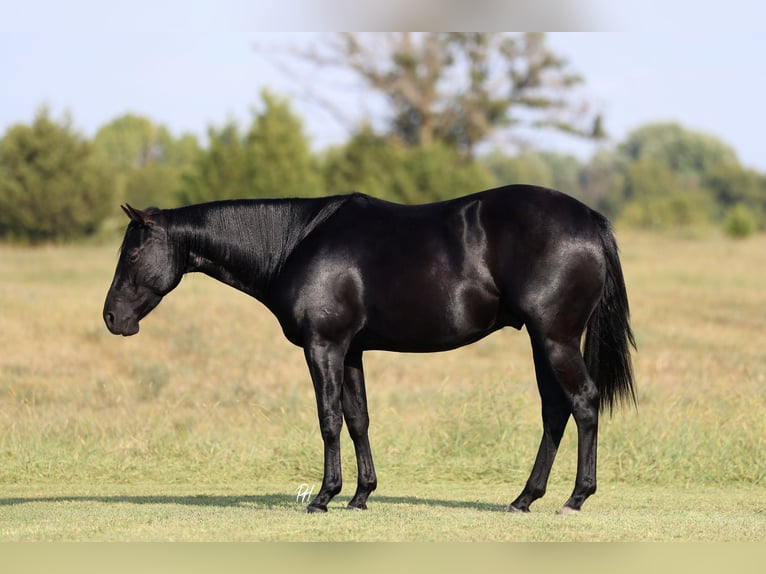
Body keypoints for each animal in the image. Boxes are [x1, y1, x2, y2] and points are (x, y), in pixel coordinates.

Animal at [103, 184, 635, 514]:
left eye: (132, 253)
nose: (112, 318)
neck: (296, 242)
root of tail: (590, 220)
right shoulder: (352, 351)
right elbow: (358, 419)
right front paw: (361, 496)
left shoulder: (323, 347)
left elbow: (329, 419)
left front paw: (324, 496)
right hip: (542, 341)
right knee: (555, 412)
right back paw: (525, 498)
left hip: (555, 338)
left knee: (584, 404)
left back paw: (576, 498)